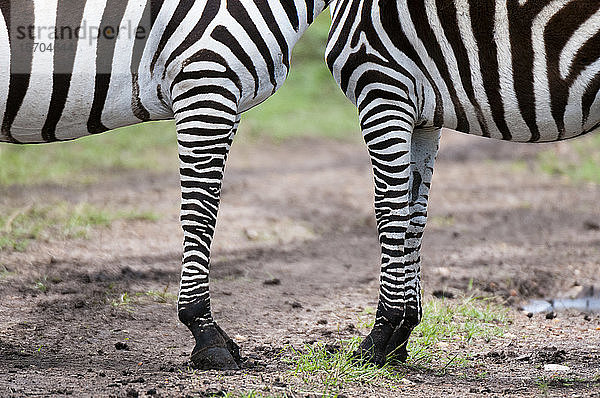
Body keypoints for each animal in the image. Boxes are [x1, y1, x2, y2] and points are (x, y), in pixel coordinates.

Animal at [326, 0, 600, 366]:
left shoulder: (383, 89)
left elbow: (390, 210)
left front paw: (379, 337)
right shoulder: (423, 115)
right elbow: (416, 215)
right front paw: (401, 334)